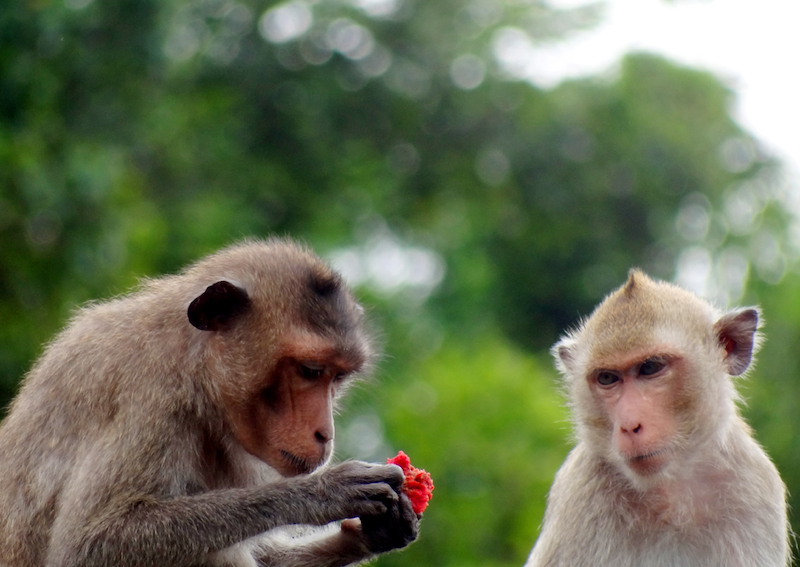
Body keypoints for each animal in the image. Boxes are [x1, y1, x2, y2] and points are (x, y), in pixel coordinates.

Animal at [0, 240, 418, 567]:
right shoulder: (151, 397)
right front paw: (321, 492)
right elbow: (89, 543)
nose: (325, 434)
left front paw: (378, 531)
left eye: (338, 378)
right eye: (310, 370)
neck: (195, 366)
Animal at [524, 270, 788, 567]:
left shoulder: (755, 485)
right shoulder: (580, 490)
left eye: (650, 368)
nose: (629, 425)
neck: (671, 495)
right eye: (607, 378)